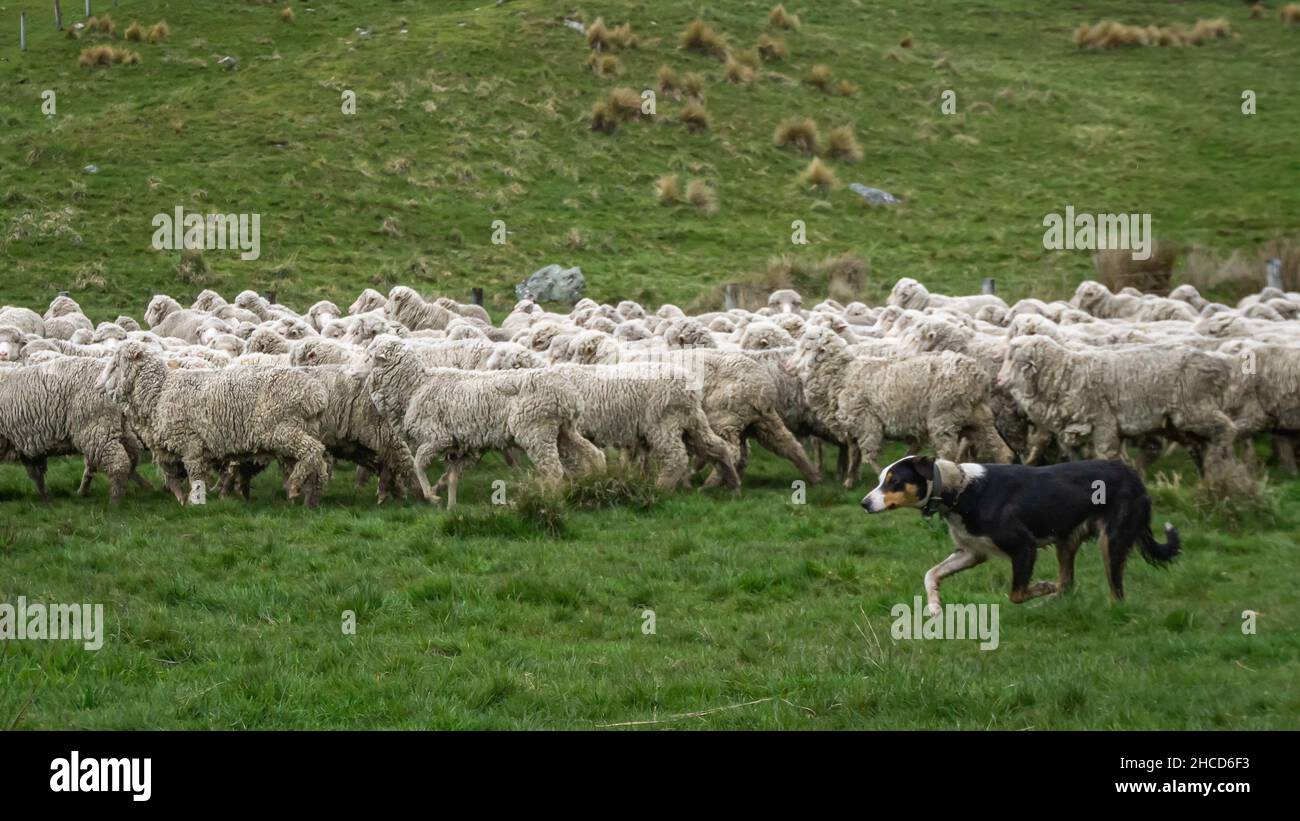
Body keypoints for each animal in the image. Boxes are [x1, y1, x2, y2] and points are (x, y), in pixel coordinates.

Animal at [96, 340, 330, 506]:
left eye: (116, 364)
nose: (98, 384)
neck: (159, 391)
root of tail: (316, 396)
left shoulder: (189, 443)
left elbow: (195, 474)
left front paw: (196, 501)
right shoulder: (166, 448)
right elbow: (171, 477)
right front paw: (182, 499)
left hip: (283, 431)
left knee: (313, 451)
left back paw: (295, 485)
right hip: (299, 431)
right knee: (319, 464)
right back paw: (312, 499)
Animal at [358, 335, 605, 506]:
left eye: (370, 356)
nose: (354, 370)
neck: (415, 387)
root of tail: (568, 395)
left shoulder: (437, 437)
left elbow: (418, 462)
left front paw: (431, 495)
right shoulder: (458, 446)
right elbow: (452, 477)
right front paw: (450, 505)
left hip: (537, 431)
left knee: (554, 471)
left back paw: (545, 499)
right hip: (565, 430)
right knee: (594, 454)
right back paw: (596, 482)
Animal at [795, 323, 1008, 483]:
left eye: (806, 349)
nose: (790, 365)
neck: (843, 374)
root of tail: (976, 376)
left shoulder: (866, 423)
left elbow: (869, 454)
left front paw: (880, 476)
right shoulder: (854, 426)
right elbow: (855, 453)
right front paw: (850, 480)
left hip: (943, 417)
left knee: (948, 453)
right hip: (977, 417)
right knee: (1000, 448)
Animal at [863, 454, 1180, 615]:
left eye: (893, 481)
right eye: (880, 480)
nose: (864, 503)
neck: (961, 490)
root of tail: (1135, 477)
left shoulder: (1023, 547)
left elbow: (1016, 593)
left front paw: (1040, 586)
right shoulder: (971, 552)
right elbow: (930, 574)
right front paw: (934, 604)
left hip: (1111, 540)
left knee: (1116, 592)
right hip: (1067, 539)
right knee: (1067, 582)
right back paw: (1049, 602)